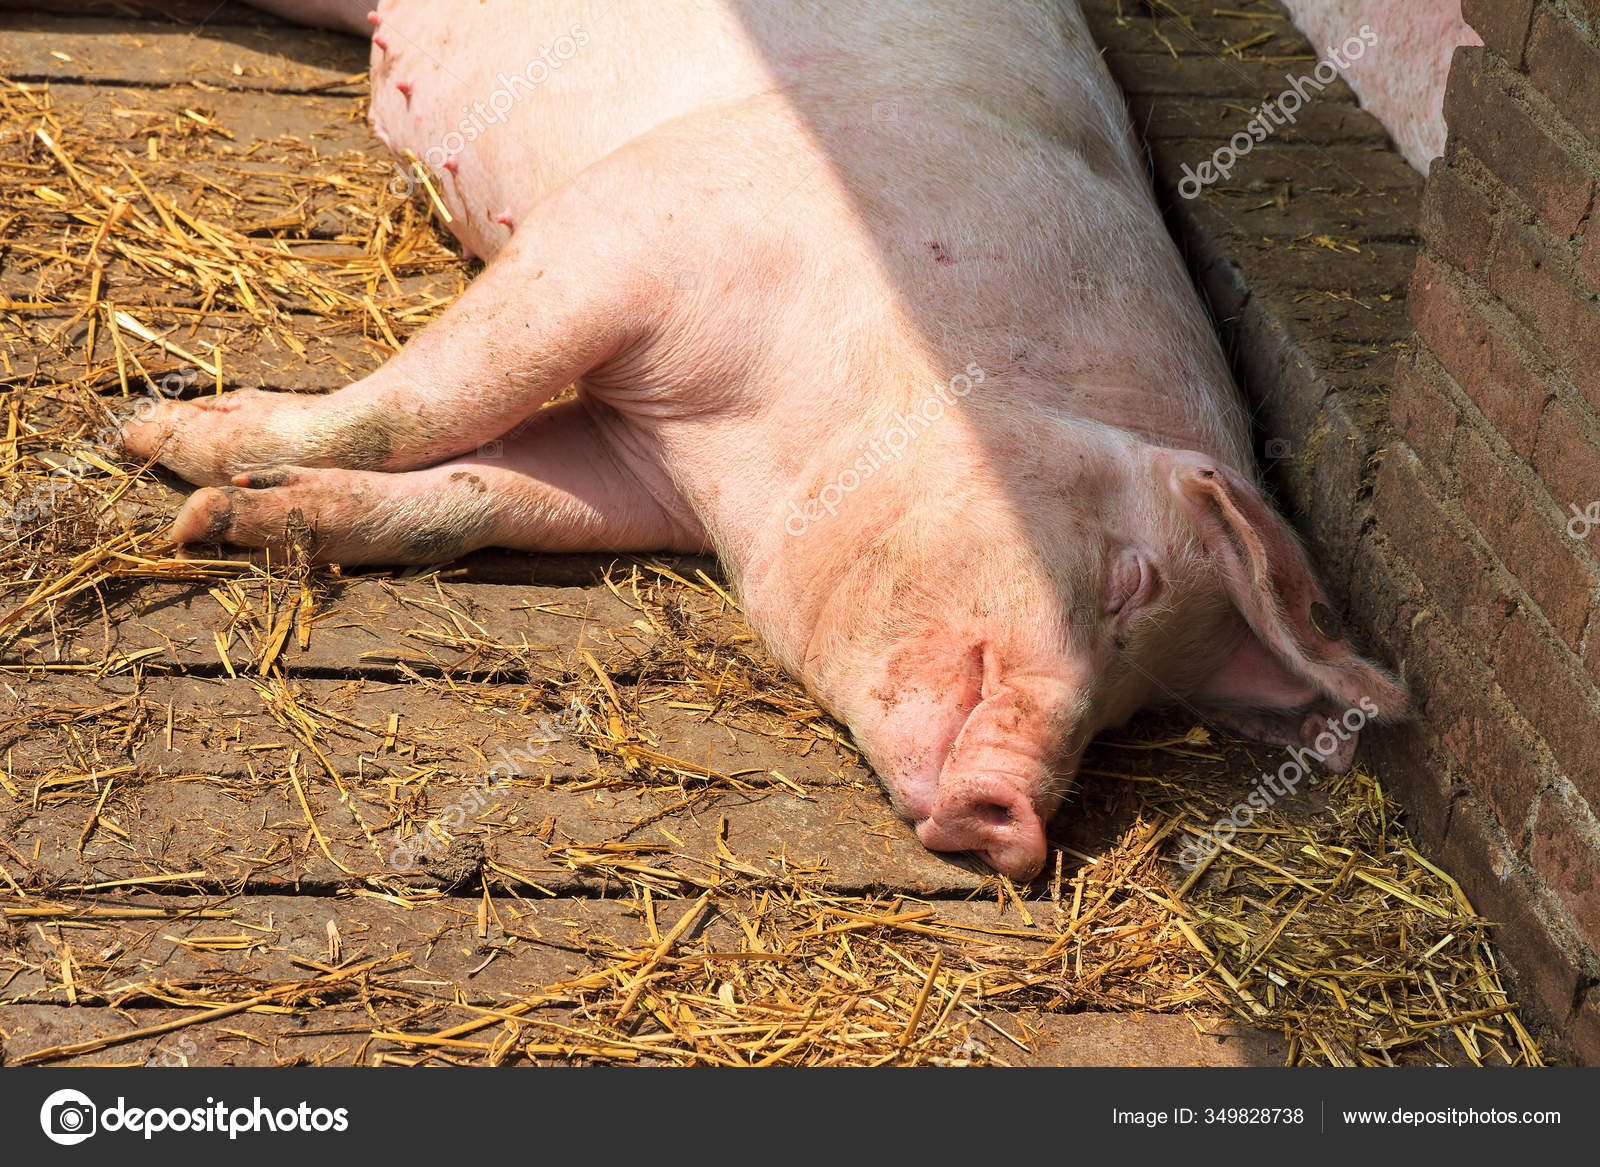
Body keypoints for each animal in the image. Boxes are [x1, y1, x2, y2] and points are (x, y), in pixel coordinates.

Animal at [123, 0, 1409, 881]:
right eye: (1130, 582)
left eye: (1135, 709)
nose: (1020, 822)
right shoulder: (630, 230)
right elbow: (435, 400)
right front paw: (164, 436)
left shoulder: (634, 469)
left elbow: (481, 494)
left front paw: (229, 511)